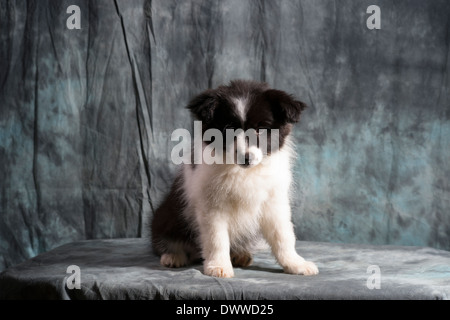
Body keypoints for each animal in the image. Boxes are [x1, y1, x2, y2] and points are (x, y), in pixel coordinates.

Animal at [152, 80, 320, 278]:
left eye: (261, 129)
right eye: (228, 129)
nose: (246, 158)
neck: (244, 172)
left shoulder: (274, 201)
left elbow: (283, 235)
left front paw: (295, 264)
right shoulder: (211, 206)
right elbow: (216, 238)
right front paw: (218, 266)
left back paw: (239, 255)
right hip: (166, 216)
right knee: (166, 241)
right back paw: (173, 256)